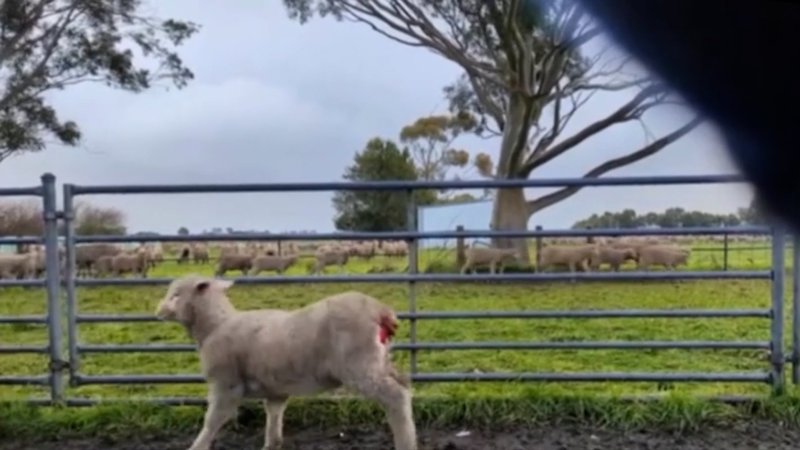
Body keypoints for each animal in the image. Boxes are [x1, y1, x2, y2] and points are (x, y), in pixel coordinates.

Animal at [154, 275, 417, 450]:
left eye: (176, 295)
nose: (158, 311)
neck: (214, 326)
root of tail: (380, 310)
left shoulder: (226, 384)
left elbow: (212, 421)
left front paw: (197, 446)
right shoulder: (275, 390)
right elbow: (274, 417)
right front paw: (272, 444)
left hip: (360, 365)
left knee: (396, 396)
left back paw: (406, 443)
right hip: (380, 361)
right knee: (403, 386)